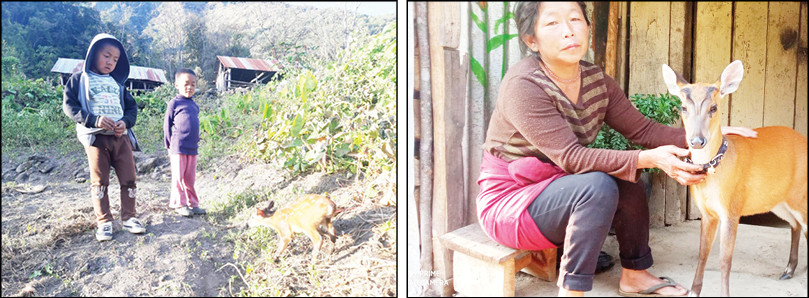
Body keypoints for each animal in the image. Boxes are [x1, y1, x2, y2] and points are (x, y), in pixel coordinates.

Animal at [660, 60, 804, 296]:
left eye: (713, 107)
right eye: (683, 107)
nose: (697, 140)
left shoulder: (732, 207)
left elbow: (724, 260)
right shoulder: (707, 212)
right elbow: (703, 254)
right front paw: (693, 291)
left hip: (800, 194)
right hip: (778, 199)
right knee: (795, 224)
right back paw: (788, 270)